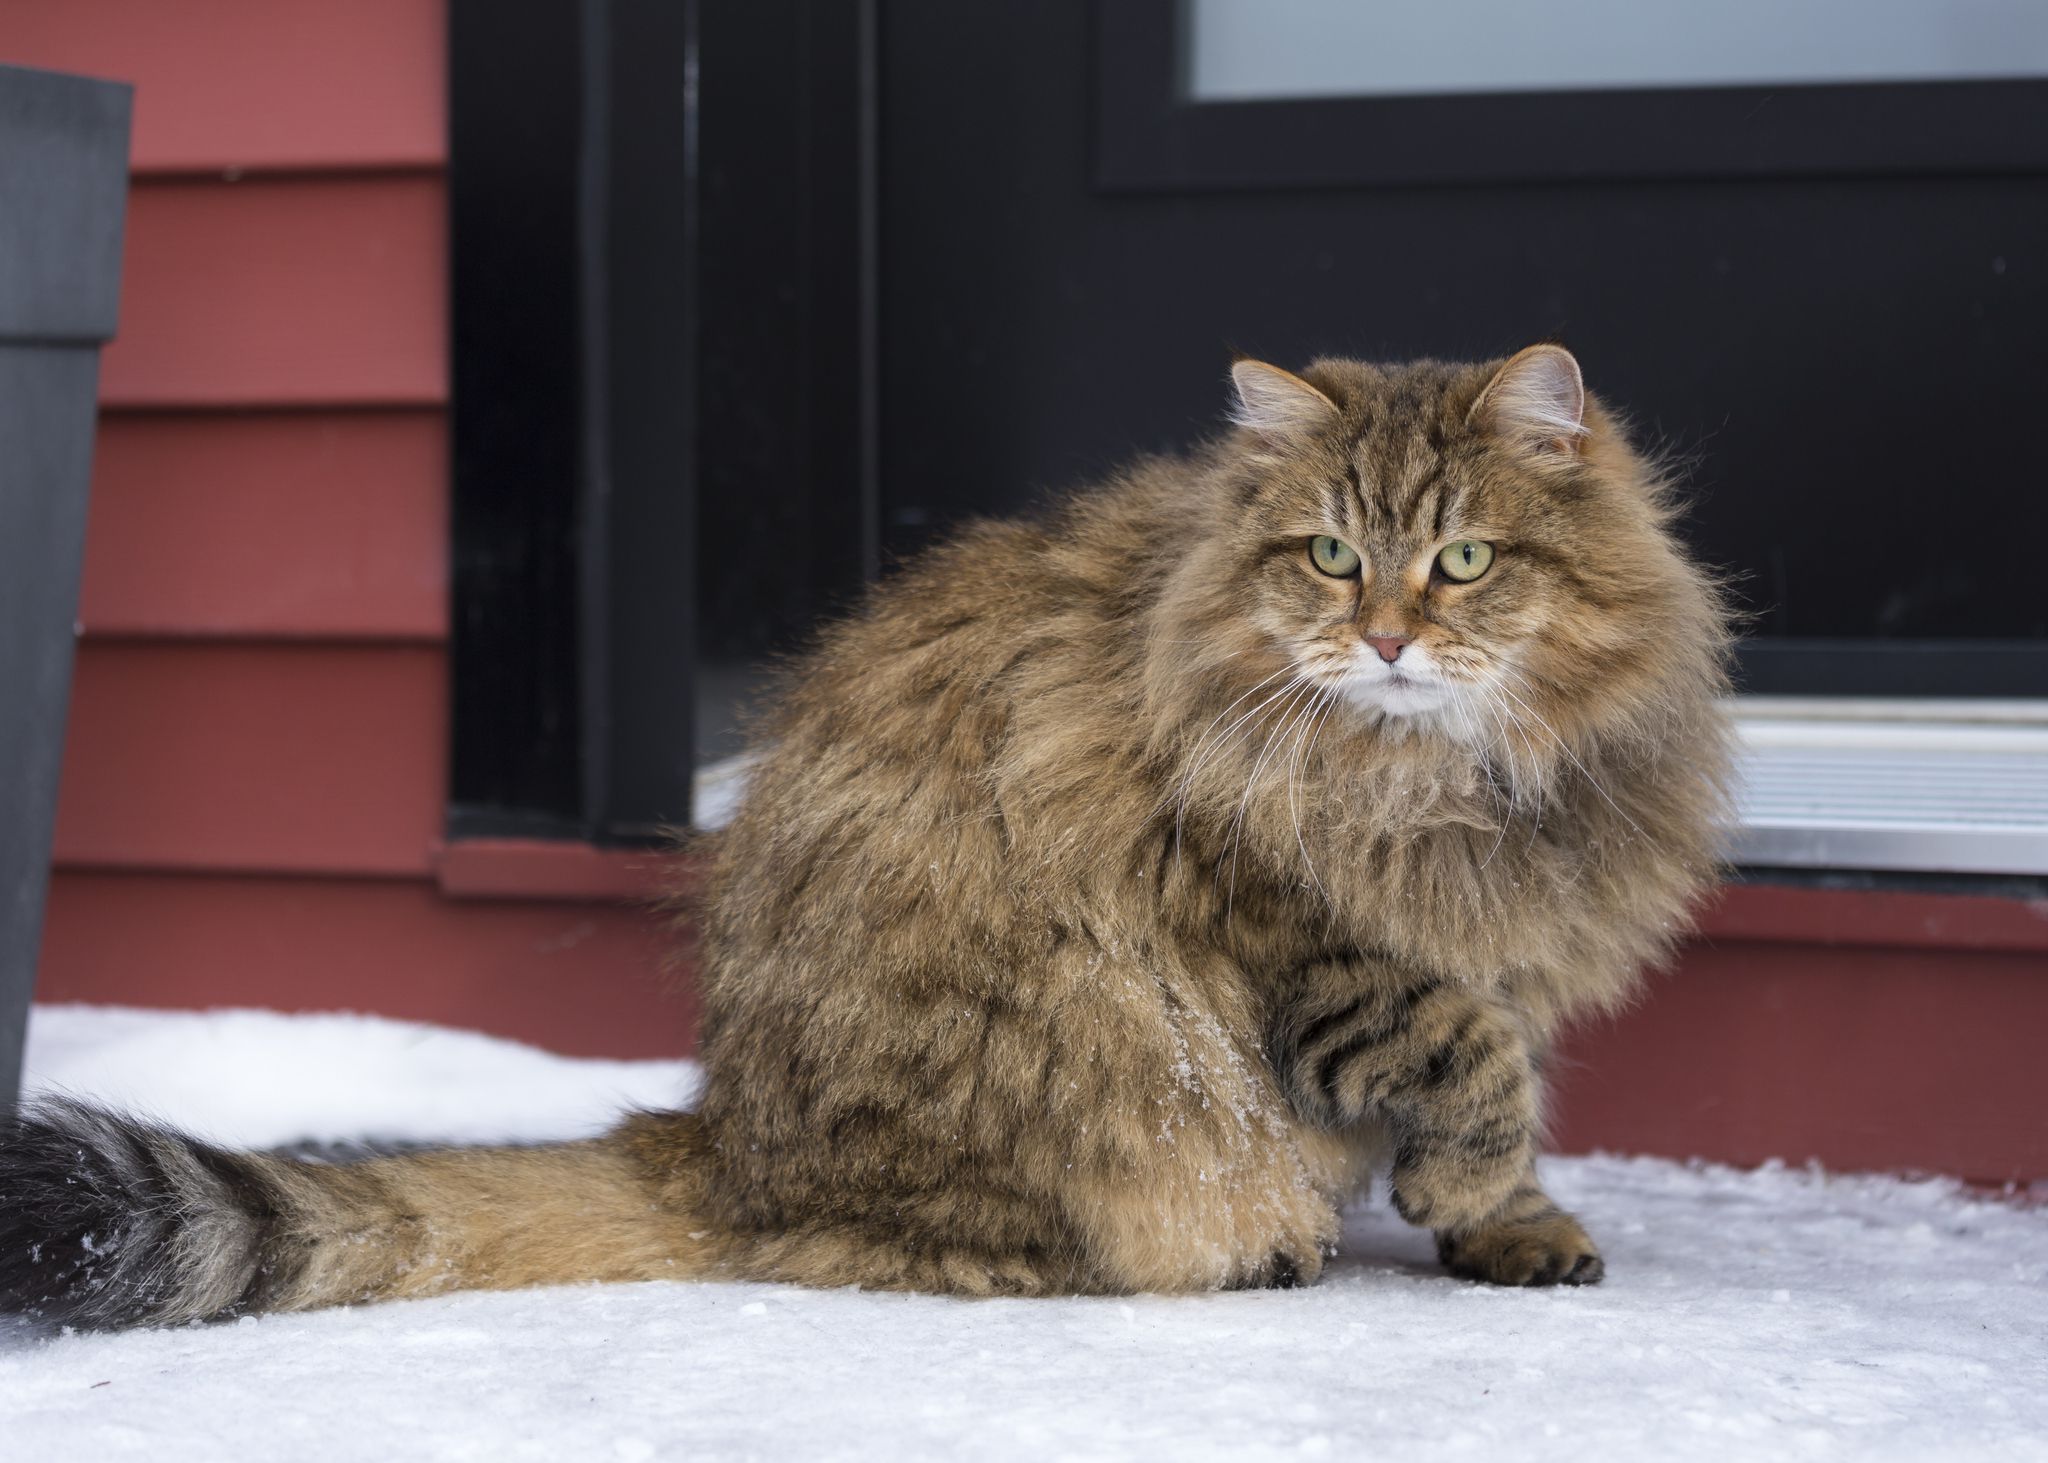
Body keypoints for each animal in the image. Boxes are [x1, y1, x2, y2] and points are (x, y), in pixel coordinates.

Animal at [0, 344, 1728, 1319]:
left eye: (1461, 559)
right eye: (1325, 555)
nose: (1382, 638)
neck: (1441, 782)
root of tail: (718, 1133)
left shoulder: (1509, 929)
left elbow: (1511, 1071)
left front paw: (1507, 1224)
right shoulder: (1311, 940)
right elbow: (1472, 1063)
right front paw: (1460, 1184)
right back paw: (1263, 1247)